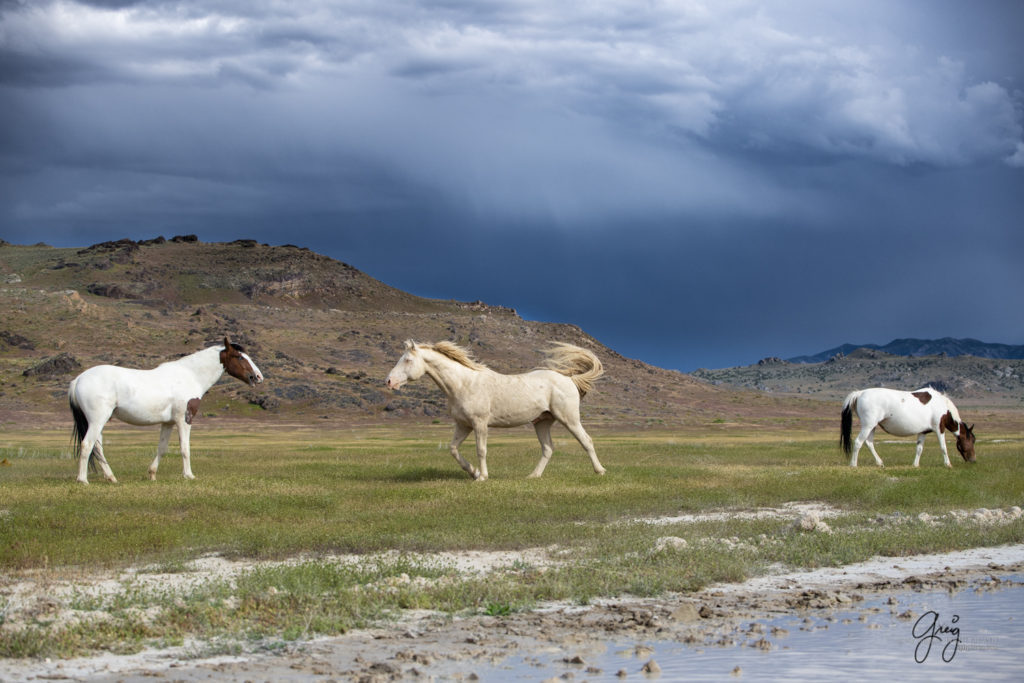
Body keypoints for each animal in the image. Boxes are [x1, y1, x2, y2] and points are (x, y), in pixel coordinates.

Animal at [66, 339, 262, 483]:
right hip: (97, 420)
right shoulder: (184, 419)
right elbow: (185, 448)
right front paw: (189, 475)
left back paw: (111, 478)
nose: (258, 377)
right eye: (239, 357)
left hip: (98, 422)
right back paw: (83, 480)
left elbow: (162, 448)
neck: (190, 375)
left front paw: (152, 474)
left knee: (98, 447)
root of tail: (78, 379)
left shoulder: (168, 423)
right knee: (87, 445)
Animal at [385, 342, 606, 481]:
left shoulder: (480, 423)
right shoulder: (463, 425)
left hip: (569, 418)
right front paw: (473, 472)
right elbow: (453, 449)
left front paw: (482, 476)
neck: (463, 383)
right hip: (542, 422)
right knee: (548, 448)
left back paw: (600, 471)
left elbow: (481, 450)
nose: (389, 381)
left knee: (586, 441)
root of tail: (569, 379)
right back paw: (533, 476)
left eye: (407, 360)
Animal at [839, 387, 974, 466]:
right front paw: (948, 464)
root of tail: (859, 393)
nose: (973, 459)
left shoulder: (923, 432)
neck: (942, 405)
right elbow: (943, 447)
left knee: (869, 443)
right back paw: (853, 464)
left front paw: (915, 465)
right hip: (868, 425)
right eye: (972, 440)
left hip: (872, 426)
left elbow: (919, 448)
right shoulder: (939, 429)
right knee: (858, 442)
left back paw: (880, 462)